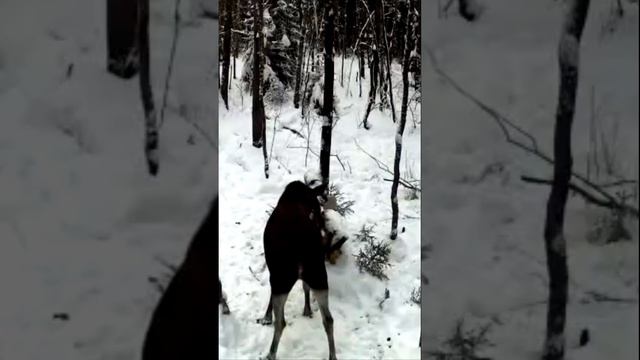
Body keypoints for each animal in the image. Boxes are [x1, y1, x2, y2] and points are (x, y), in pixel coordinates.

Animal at [258, 181, 340, 360]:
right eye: (318, 207)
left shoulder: (274, 274)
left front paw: (266, 317)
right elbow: (305, 287)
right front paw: (307, 309)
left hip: (283, 278)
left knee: (281, 323)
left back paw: (271, 354)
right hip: (319, 276)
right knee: (329, 319)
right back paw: (332, 355)